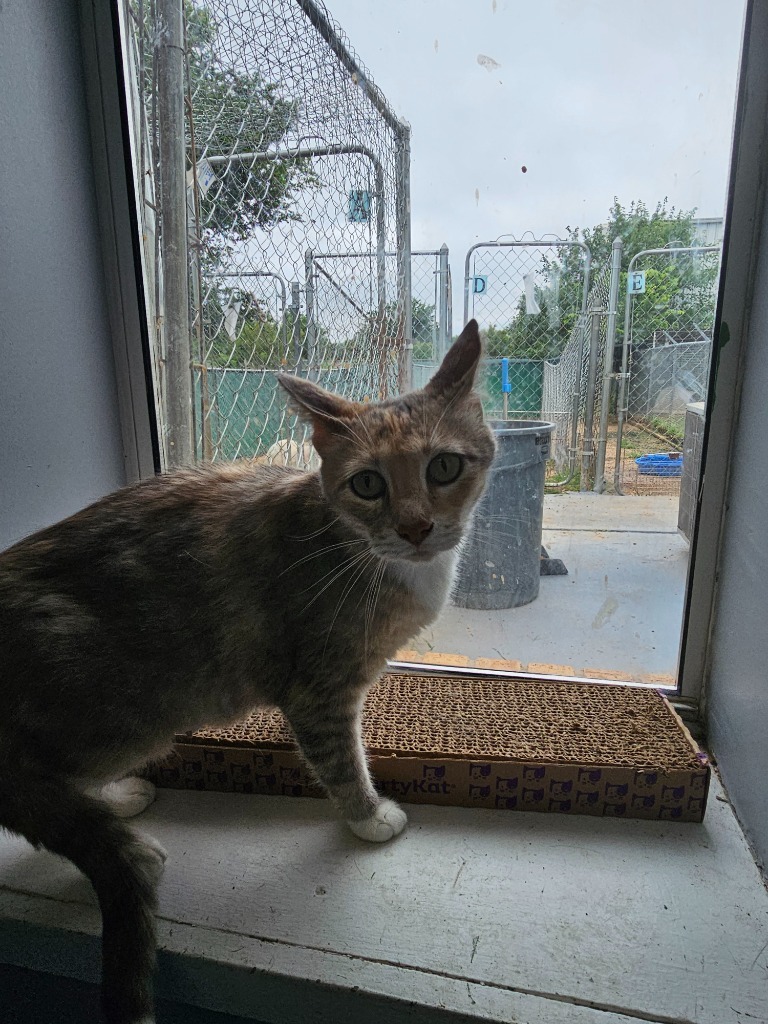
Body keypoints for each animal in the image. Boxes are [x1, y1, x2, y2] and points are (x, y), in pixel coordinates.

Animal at [0, 315, 495, 1019]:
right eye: (368, 483)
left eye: (445, 466)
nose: (417, 527)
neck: (361, 551)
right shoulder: (319, 687)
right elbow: (341, 757)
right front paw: (369, 815)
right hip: (121, 713)